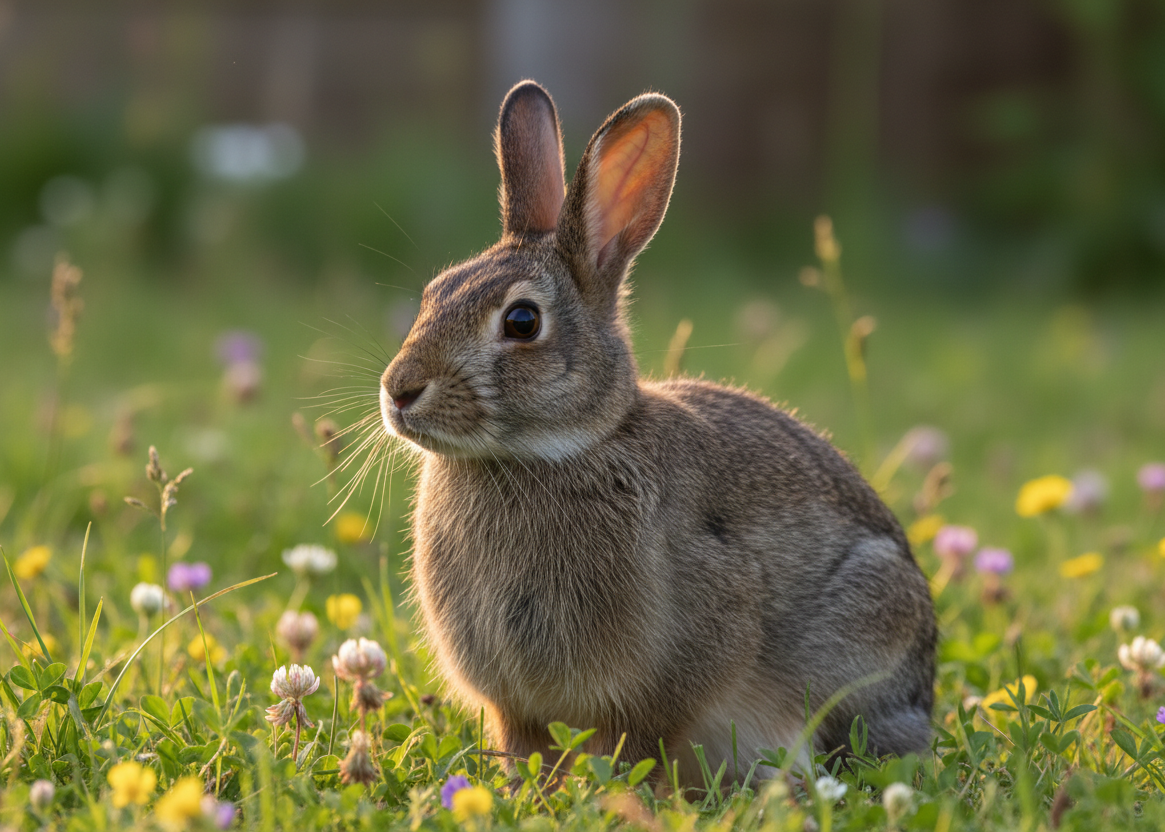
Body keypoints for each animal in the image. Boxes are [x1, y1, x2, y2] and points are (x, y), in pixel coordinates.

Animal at [379, 80, 936, 787]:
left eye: (522, 321)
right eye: (432, 293)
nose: (398, 391)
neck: (552, 451)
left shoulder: (685, 652)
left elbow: (638, 742)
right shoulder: (515, 705)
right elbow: (524, 746)